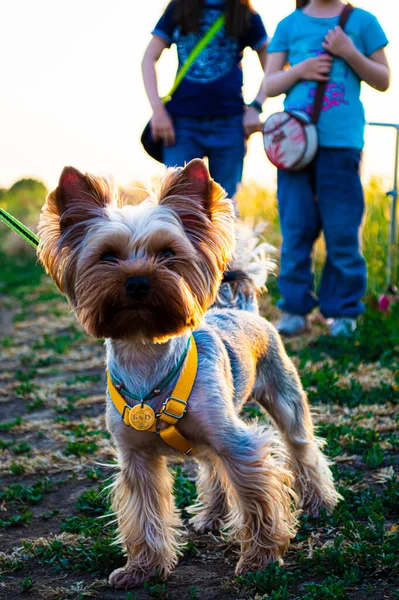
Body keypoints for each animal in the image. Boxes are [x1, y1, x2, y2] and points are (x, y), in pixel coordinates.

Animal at [37, 158, 340, 584]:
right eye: (107, 256)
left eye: (167, 253)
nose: (138, 282)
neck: (146, 354)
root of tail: (243, 308)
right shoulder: (136, 458)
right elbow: (145, 513)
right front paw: (142, 567)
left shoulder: (237, 443)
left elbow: (256, 497)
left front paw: (259, 561)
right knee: (212, 469)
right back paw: (210, 516)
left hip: (283, 394)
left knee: (301, 447)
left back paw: (318, 501)